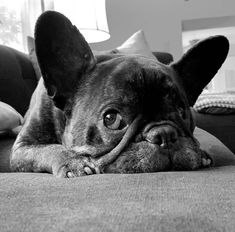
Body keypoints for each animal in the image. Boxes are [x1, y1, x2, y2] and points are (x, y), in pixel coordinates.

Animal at [10, 11, 229, 178]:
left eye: (182, 111)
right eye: (111, 119)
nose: (164, 133)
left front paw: (201, 152)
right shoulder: (23, 148)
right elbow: (49, 150)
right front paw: (73, 161)